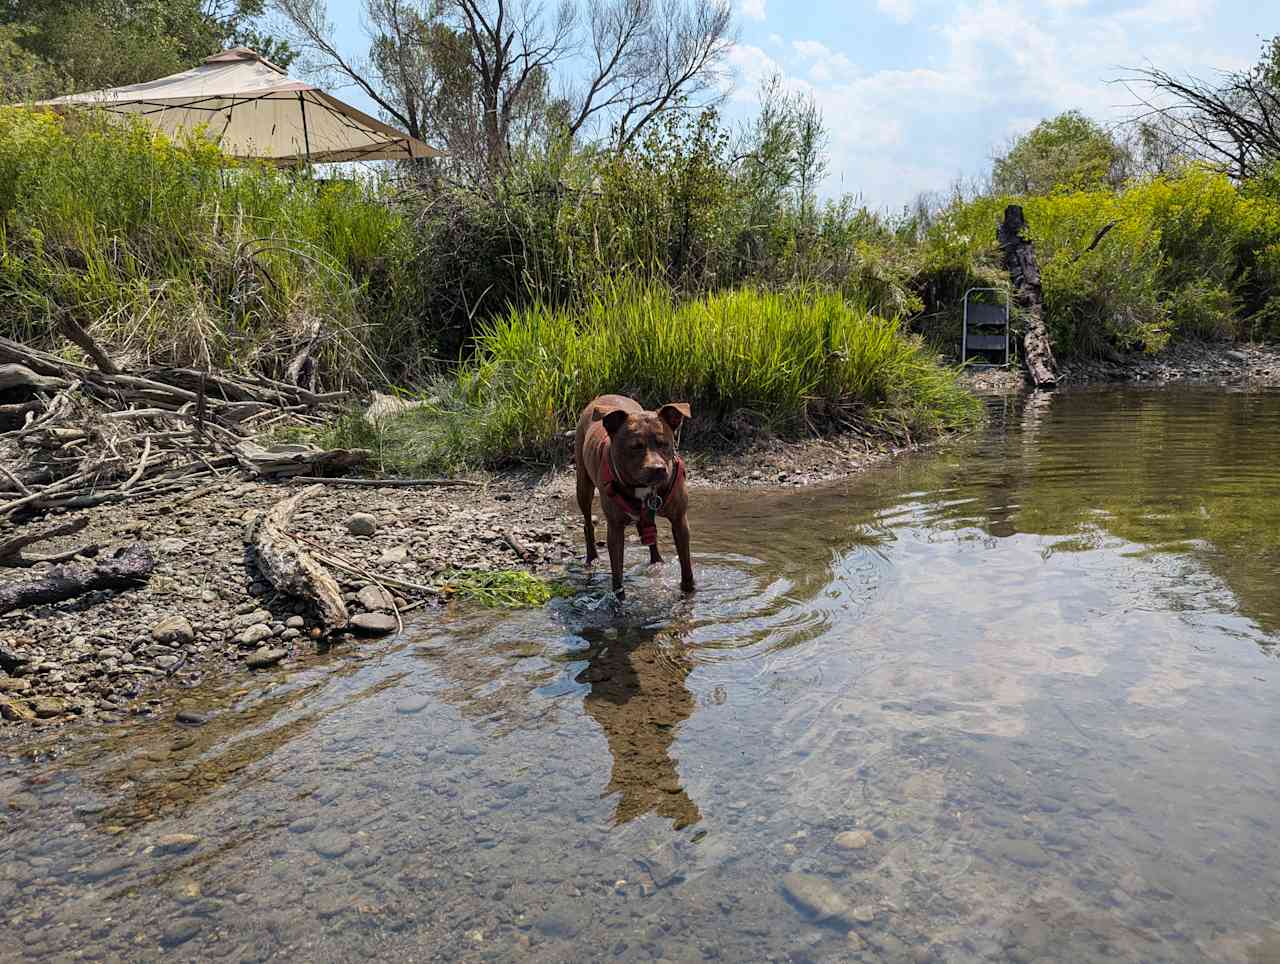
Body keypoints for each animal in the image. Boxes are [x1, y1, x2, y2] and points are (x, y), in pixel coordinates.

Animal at [578, 391, 696, 594]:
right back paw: (592, 558)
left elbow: (686, 566)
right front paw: (618, 598)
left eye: (664, 443)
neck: (643, 488)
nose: (657, 469)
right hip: (582, 484)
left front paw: (688, 591)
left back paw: (657, 562)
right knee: (588, 523)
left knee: (650, 532)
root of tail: (605, 395)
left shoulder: (680, 519)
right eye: (635, 446)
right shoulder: (615, 528)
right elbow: (617, 575)